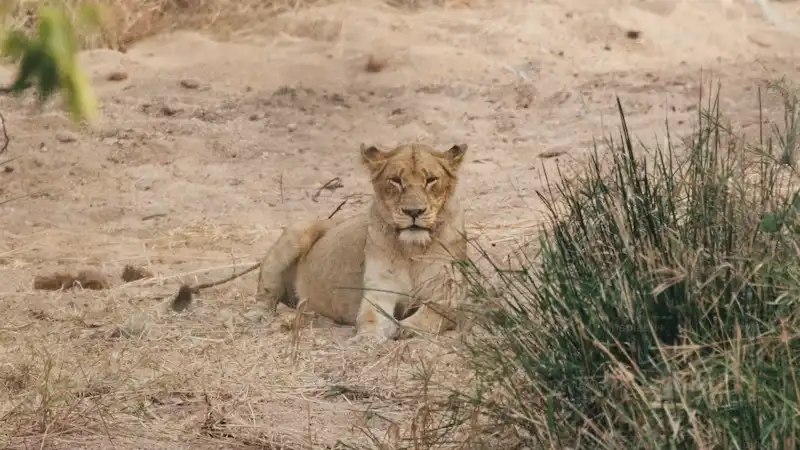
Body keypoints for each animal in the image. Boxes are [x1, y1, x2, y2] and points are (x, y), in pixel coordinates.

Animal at [255, 142, 469, 340]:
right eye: (395, 180)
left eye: (431, 180)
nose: (413, 212)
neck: (412, 249)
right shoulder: (379, 292)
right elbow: (370, 317)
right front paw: (367, 338)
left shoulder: (449, 292)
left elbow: (433, 313)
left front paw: (404, 328)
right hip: (297, 230)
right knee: (266, 293)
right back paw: (263, 317)